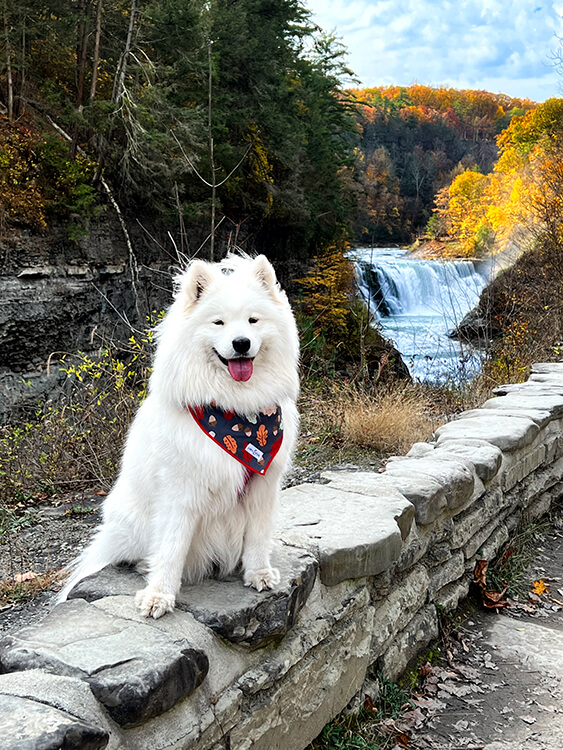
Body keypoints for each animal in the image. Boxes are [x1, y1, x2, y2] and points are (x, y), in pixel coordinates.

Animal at [58, 256, 300, 620]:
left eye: (253, 320)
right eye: (218, 322)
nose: (241, 343)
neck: (236, 413)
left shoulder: (262, 484)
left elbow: (257, 537)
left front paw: (257, 573)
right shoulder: (180, 491)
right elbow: (171, 548)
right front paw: (159, 595)